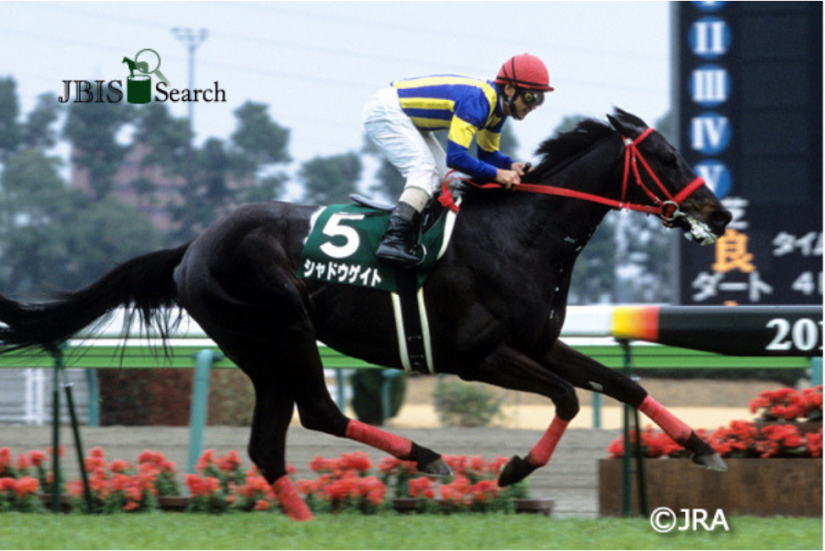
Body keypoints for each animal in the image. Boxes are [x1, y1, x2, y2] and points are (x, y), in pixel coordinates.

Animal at [0, 108, 732, 521]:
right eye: (665, 156)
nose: (719, 213)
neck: (521, 234)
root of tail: (192, 245)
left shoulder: (539, 341)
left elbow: (622, 384)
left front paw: (701, 446)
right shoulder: (479, 357)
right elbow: (569, 398)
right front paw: (514, 468)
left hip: (261, 352)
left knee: (268, 445)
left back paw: (308, 523)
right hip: (281, 328)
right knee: (319, 413)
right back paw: (427, 458)